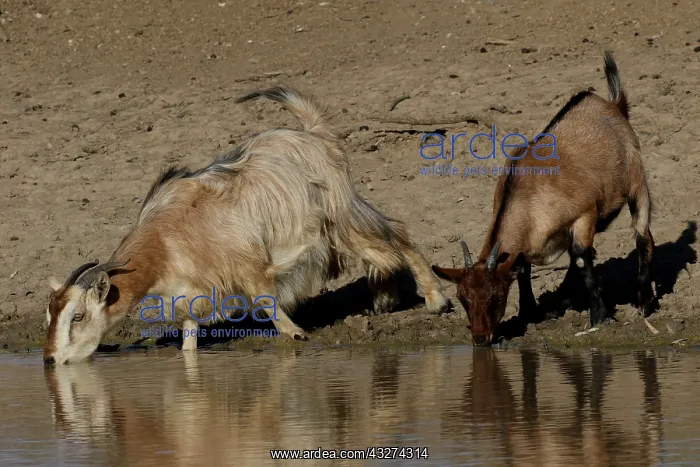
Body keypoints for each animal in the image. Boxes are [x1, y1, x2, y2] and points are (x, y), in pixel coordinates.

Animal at [43, 85, 449, 365]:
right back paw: (385, 299)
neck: (166, 236)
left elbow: (269, 303)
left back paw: (435, 300)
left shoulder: (248, 264)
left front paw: (296, 334)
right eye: (50, 313)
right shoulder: (190, 294)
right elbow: (189, 342)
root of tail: (312, 132)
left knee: (397, 234)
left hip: (342, 214)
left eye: (78, 315)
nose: (49, 359)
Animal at [432, 50, 656, 346]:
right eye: (463, 298)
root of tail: (613, 105)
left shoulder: (584, 215)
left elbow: (583, 260)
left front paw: (599, 316)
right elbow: (526, 269)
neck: (529, 198)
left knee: (643, 237)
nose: (480, 339)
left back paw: (644, 301)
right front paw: (529, 312)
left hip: (636, 181)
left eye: (497, 296)